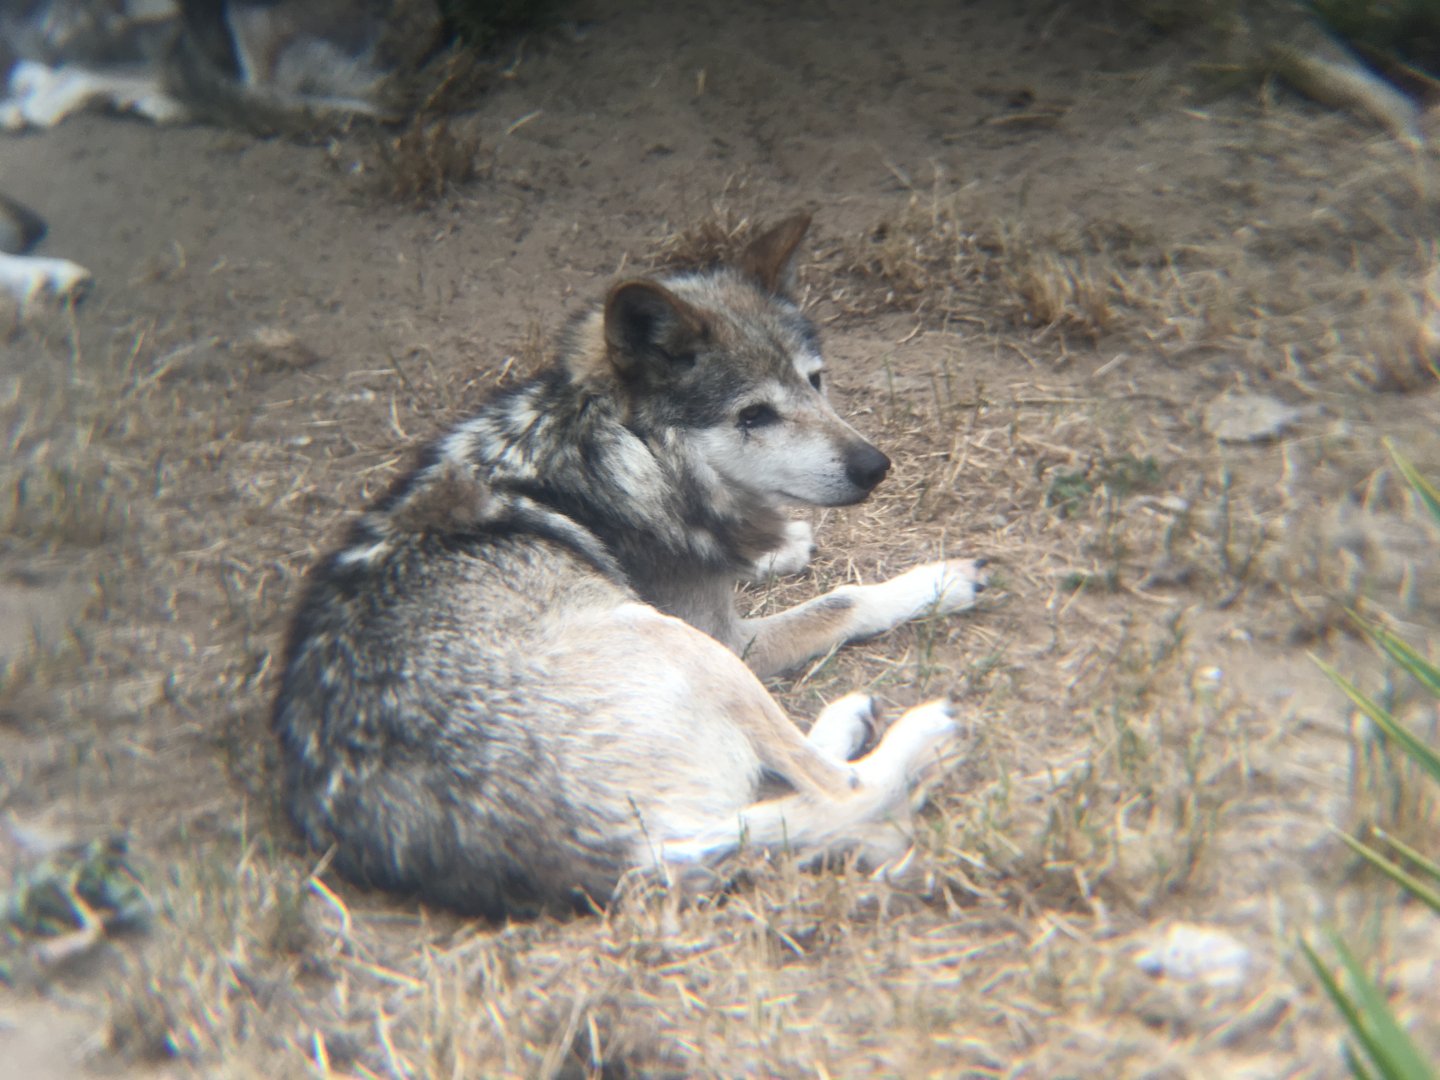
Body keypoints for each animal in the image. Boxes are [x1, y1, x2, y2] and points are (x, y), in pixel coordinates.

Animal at [272, 214, 989, 918]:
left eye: (816, 380)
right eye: (754, 415)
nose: (876, 466)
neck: (622, 447)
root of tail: (630, 859)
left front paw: (780, 541)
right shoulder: (727, 634)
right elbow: (840, 601)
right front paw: (938, 580)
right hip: (680, 643)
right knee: (843, 789)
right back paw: (920, 732)